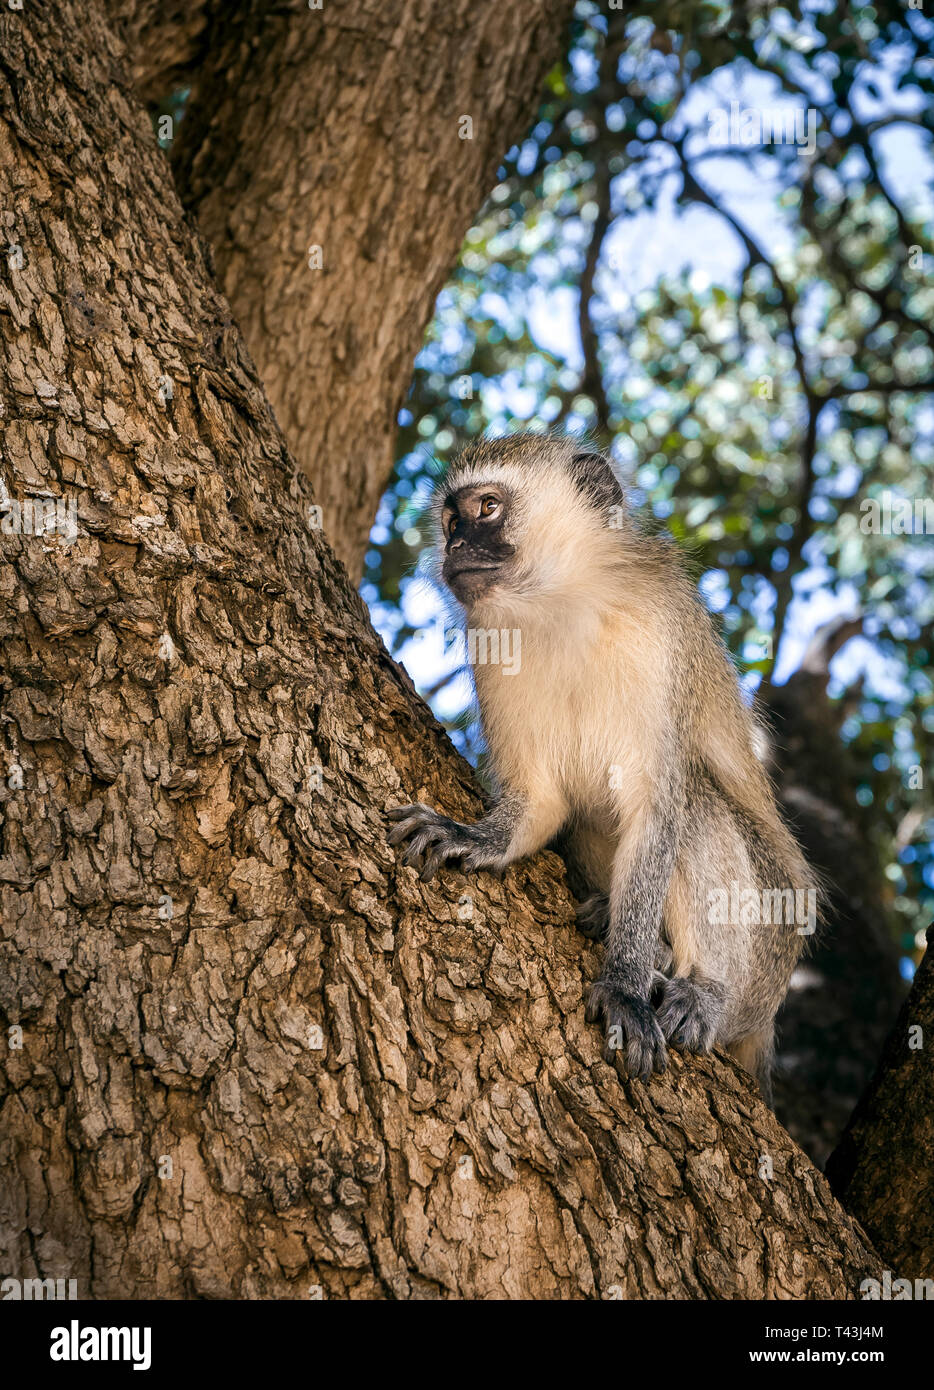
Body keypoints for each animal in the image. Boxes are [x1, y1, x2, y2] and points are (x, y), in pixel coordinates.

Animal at [386, 433, 811, 1095]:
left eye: (487, 508)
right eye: (451, 521)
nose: (454, 546)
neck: (562, 607)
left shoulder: (660, 633)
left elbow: (656, 808)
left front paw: (626, 982)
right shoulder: (490, 639)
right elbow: (542, 799)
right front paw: (477, 837)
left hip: (772, 951)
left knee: (698, 802)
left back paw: (703, 988)